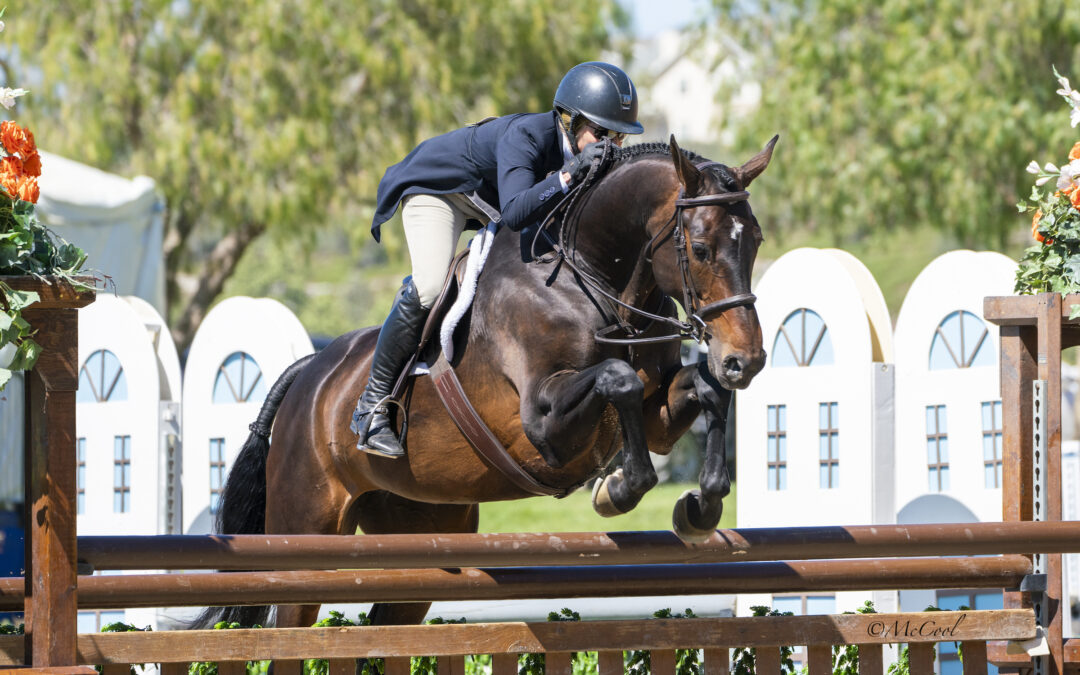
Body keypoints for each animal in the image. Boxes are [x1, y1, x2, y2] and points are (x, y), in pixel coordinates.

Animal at [198, 134, 777, 630]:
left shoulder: (656, 418)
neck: (593, 279)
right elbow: (618, 381)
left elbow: (703, 389)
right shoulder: (541, 423)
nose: (744, 360)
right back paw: (375, 423)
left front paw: (703, 504)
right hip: (304, 534)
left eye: (755, 241)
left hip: (423, 532)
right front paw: (616, 489)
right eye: (699, 248)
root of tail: (309, 374)